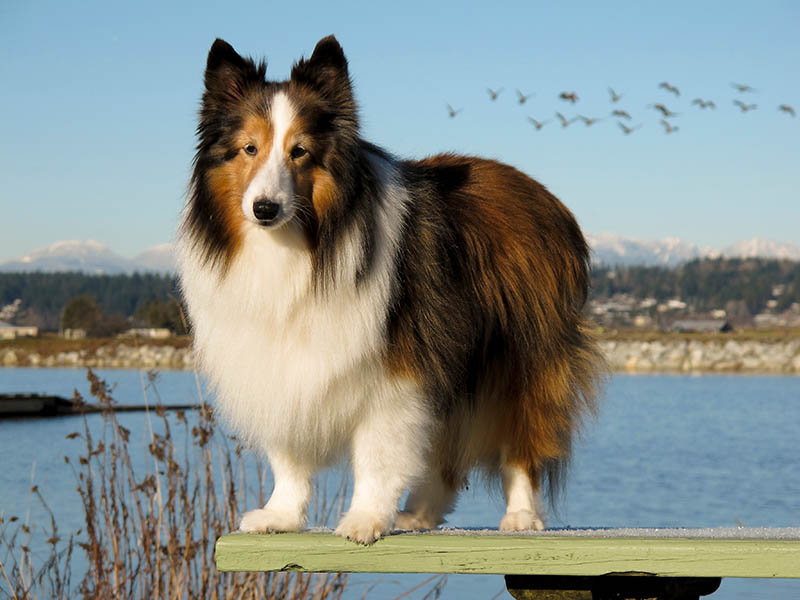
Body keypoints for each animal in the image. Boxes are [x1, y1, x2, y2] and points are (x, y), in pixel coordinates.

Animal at [178, 36, 604, 544]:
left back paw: (521, 515)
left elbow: (377, 455)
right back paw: (419, 514)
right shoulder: (280, 363)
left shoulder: (394, 371)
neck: (308, 246)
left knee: (521, 440)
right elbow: (290, 456)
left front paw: (364, 519)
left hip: (519, 361)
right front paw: (280, 515)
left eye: (300, 151)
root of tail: (546, 198)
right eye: (249, 148)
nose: (265, 208)